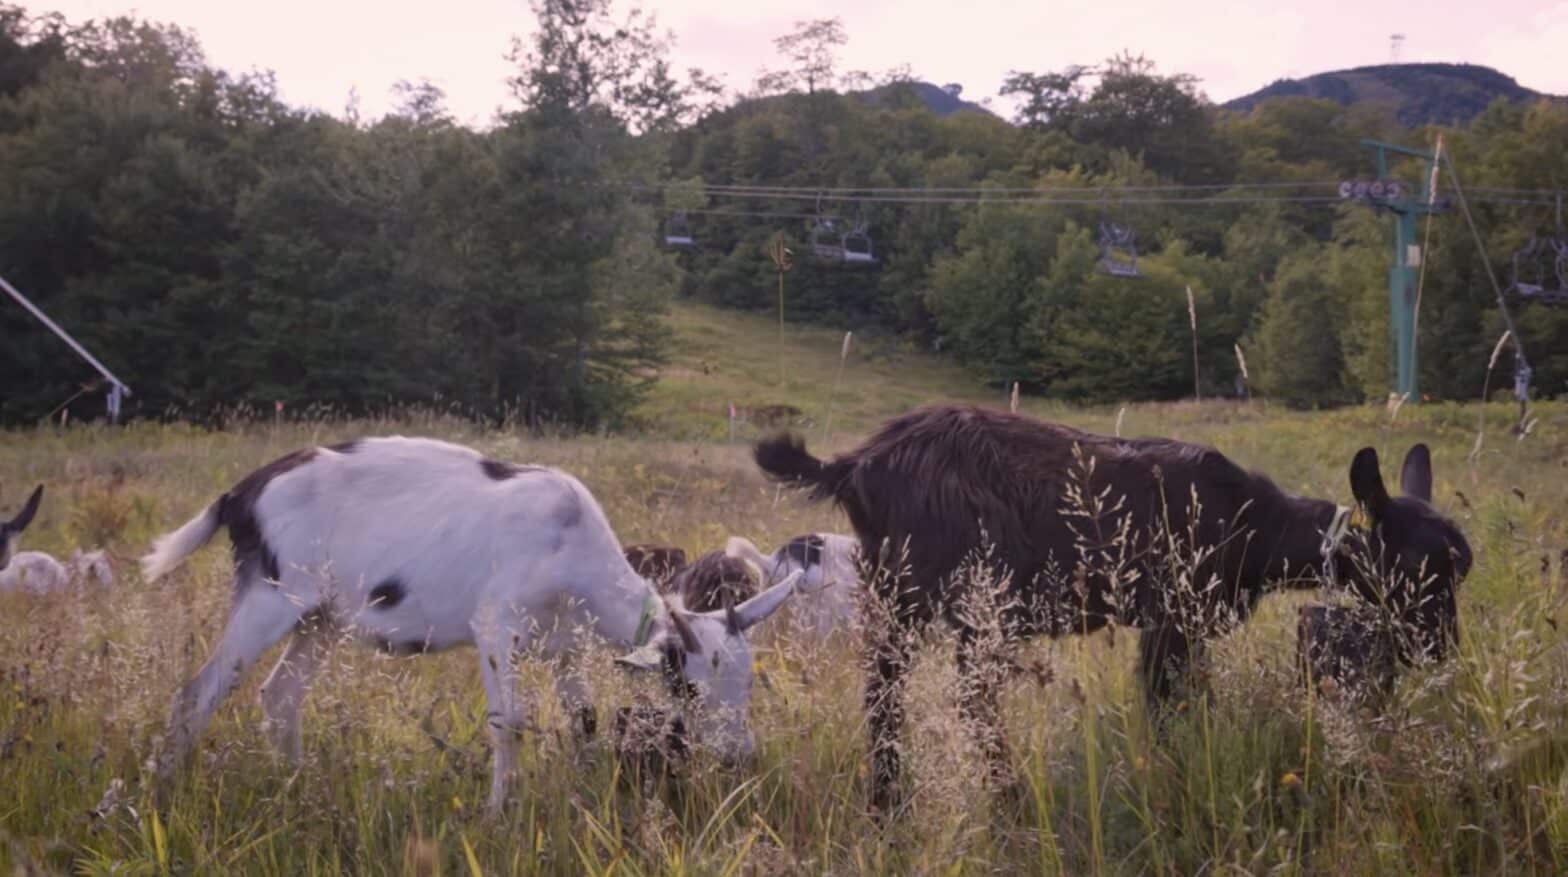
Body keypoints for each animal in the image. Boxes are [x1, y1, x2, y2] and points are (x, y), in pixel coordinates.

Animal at [138, 436, 801, 814]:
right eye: (686, 685)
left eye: (746, 681)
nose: (739, 755)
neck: (570, 547)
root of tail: (239, 495)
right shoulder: (496, 626)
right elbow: (509, 722)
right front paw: (496, 816)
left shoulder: (563, 647)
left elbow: (583, 721)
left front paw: (585, 799)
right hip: (272, 596)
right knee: (199, 690)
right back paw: (162, 795)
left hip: (322, 618)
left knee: (280, 696)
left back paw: (298, 787)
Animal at [753, 403, 1472, 812]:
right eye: (1421, 565)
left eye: (1463, 566)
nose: (1442, 652)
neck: (1254, 521)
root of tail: (854, 465)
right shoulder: (1170, 614)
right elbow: (1170, 703)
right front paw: (1174, 779)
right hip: (945, 593)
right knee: (928, 694)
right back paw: (978, 799)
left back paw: (902, 798)